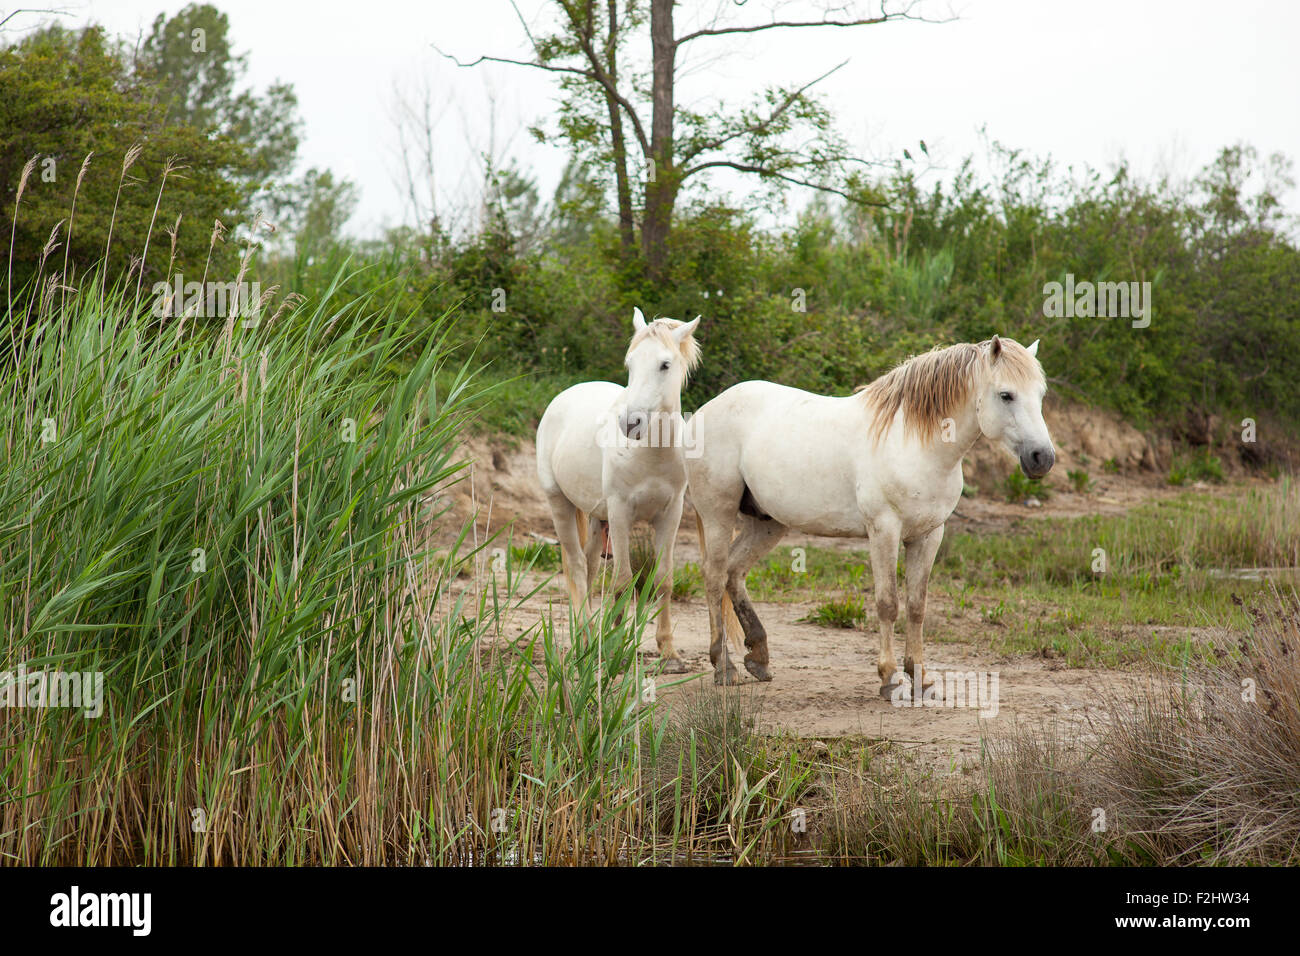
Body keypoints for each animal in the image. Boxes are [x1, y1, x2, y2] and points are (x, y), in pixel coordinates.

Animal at [535, 310, 707, 671]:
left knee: (588, 567)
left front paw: (669, 652)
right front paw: (616, 645)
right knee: (576, 566)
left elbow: (663, 579)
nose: (630, 424)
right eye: (630, 364)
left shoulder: (670, 515)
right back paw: (585, 638)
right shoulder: (620, 513)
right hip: (559, 503)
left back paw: (587, 634)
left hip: (595, 517)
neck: (651, 454)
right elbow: (624, 580)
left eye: (665, 365)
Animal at [691, 340, 1055, 691]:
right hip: (719, 514)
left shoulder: (928, 535)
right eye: (1006, 395)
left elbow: (917, 606)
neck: (915, 444)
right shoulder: (884, 531)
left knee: (734, 572)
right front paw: (890, 677)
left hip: (768, 523)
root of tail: (708, 408)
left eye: (1040, 395)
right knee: (714, 577)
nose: (1042, 458)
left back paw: (759, 658)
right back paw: (724, 668)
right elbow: (888, 603)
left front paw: (920, 676)